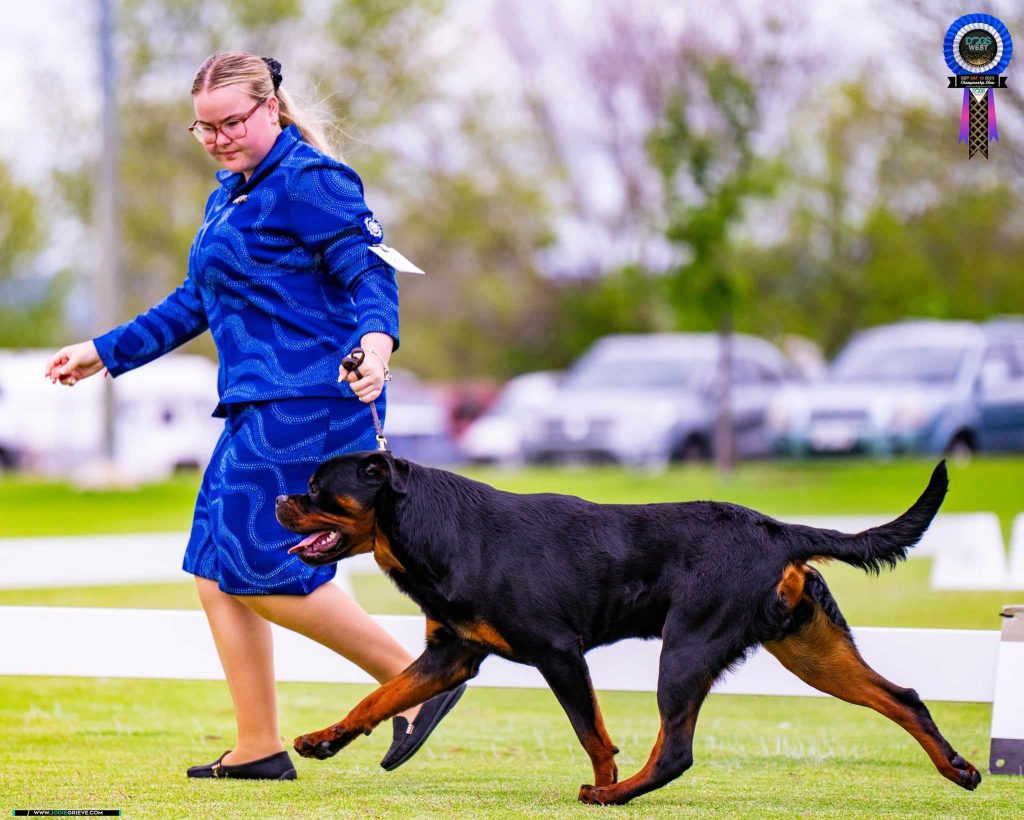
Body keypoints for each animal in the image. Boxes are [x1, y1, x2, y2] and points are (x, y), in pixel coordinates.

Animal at [276, 450, 978, 802]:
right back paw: (960, 770)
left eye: (317, 487)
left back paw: (617, 797)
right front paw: (322, 740)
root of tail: (779, 531)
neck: (435, 529)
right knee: (903, 697)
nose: (281, 498)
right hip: (812, 650)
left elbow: (591, 733)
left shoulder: (558, 653)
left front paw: (605, 781)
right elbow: (379, 695)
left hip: (687, 647)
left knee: (676, 750)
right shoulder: (452, 653)